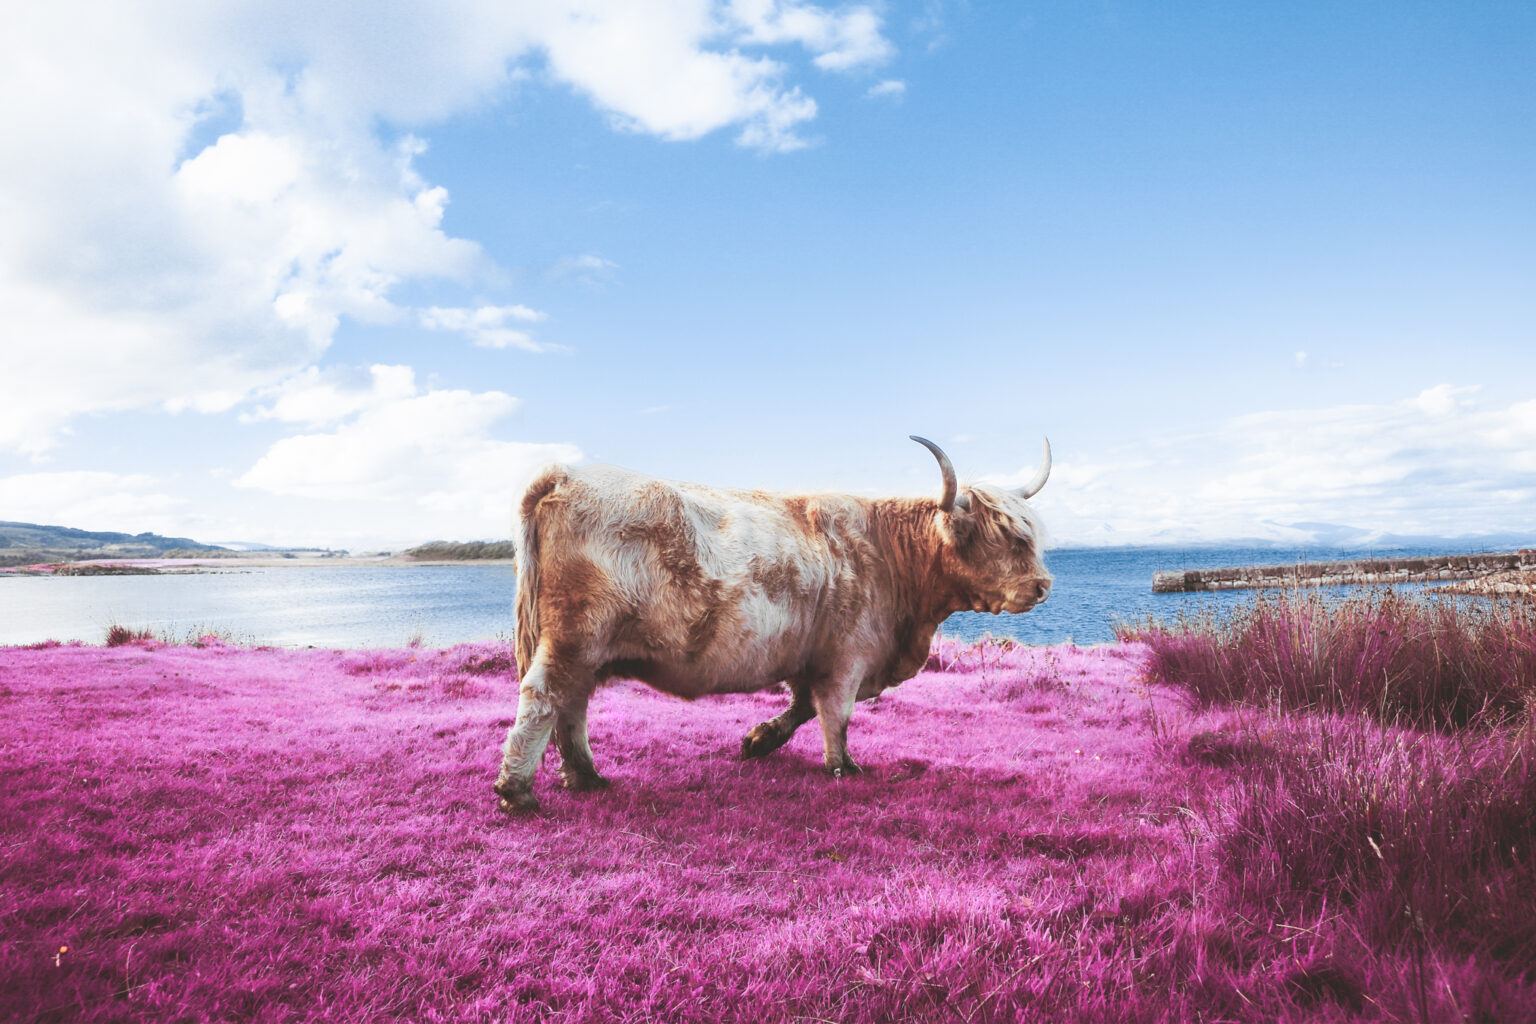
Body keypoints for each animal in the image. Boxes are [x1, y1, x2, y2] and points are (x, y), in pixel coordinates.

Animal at [493, 435, 1052, 812]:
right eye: (1004, 537)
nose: (1043, 585)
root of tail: (566, 475)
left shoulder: (814, 655)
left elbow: (803, 706)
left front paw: (758, 741)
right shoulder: (849, 656)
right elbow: (836, 715)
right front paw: (842, 766)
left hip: (585, 650)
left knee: (571, 705)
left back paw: (586, 777)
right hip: (574, 639)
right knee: (544, 697)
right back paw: (517, 790)